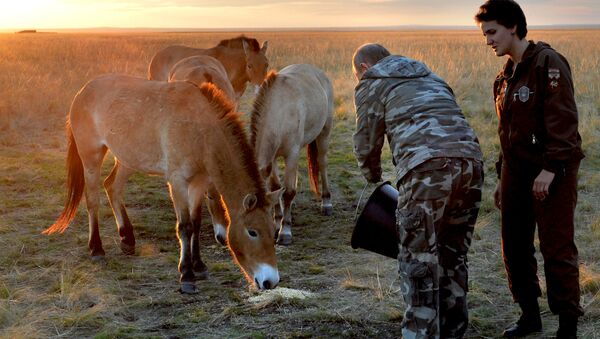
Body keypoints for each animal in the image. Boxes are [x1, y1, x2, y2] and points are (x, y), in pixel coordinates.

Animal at [44, 75, 282, 294]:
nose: (270, 281)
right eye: (252, 232)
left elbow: (196, 223)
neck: (200, 129)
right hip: (91, 156)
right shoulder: (177, 182)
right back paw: (96, 249)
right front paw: (186, 275)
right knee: (93, 199)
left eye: (273, 231)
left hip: (127, 158)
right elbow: (185, 226)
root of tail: (83, 91)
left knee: (112, 187)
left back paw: (127, 238)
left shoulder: (199, 182)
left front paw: (199, 266)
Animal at [250, 63, 336, 246]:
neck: (279, 111)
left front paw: (285, 231)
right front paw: (277, 222)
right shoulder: (273, 158)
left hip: (324, 133)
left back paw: (326, 203)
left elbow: (288, 192)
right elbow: (275, 188)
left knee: (322, 163)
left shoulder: (291, 154)